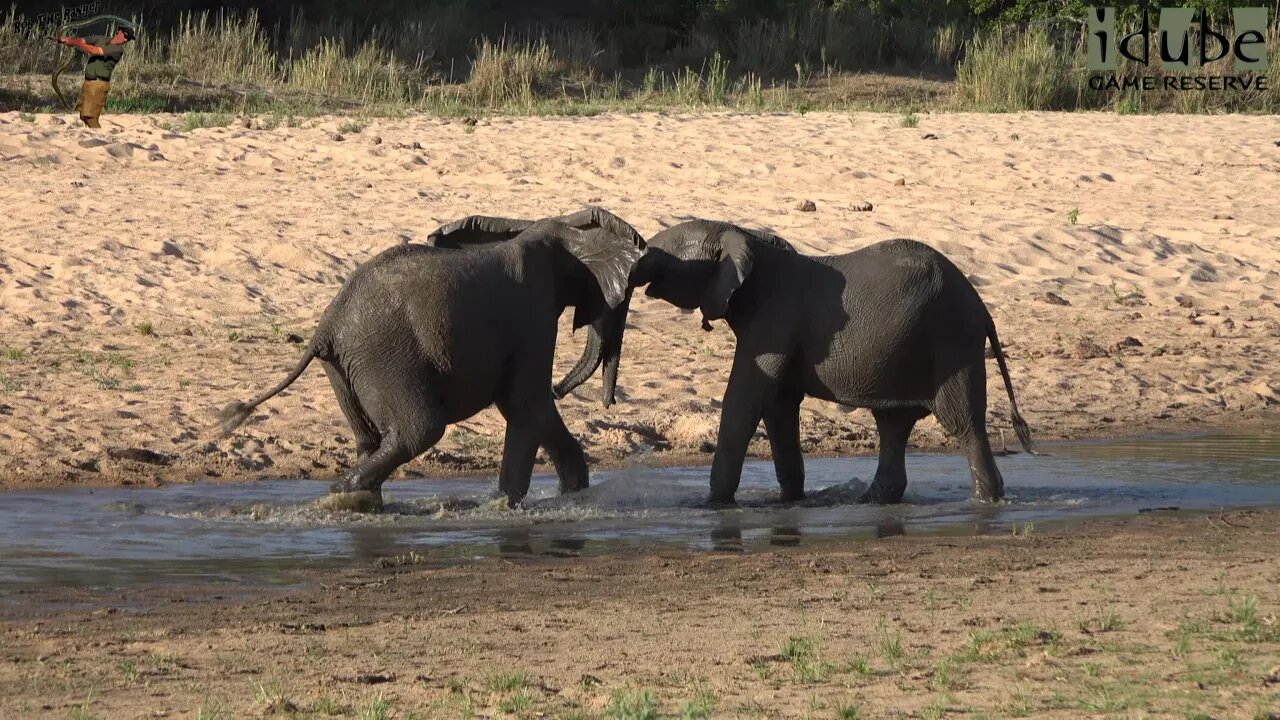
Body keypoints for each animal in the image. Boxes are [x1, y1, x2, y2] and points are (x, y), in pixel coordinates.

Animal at [216, 207, 650, 504]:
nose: (567, 390)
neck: (555, 228)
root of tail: (327, 327)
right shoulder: (533, 313)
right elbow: (526, 404)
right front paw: (504, 505)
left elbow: (529, 407)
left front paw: (570, 497)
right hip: (385, 357)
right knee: (418, 430)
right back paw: (342, 495)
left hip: (345, 369)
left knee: (370, 438)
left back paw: (357, 501)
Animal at [622, 219, 1039, 504]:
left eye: (663, 251)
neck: (740, 233)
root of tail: (982, 308)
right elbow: (778, 406)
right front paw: (790, 500)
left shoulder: (774, 319)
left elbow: (747, 398)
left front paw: (712, 505)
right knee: (894, 424)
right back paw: (871, 500)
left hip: (952, 342)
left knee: (962, 424)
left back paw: (986, 500)